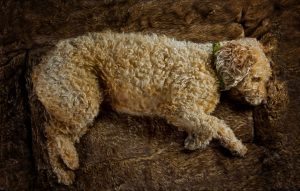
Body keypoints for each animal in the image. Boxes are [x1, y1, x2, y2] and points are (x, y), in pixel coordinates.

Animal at [31, 31, 272, 185]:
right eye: (256, 78)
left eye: (265, 79)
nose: (262, 101)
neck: (211, 65)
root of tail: (41, 66)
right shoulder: (179, 107)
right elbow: (214, 124)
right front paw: (202, 142)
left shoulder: (187, 113)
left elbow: (214, 126)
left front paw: (223, 144)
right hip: (80, 100)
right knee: (53, 134)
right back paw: (70, 161)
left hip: (76, 105)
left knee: (53, 137)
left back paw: (64, 173)